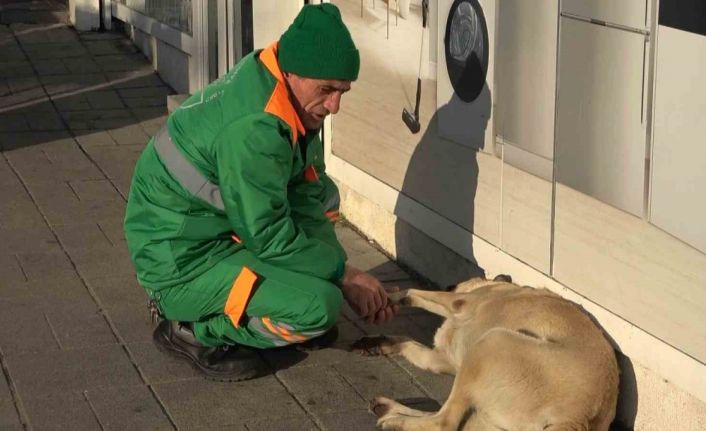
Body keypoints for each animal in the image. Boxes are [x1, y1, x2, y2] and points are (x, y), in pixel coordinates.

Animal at [352, 276, 616, 431]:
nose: (449, 284)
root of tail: (577, 419)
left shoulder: (460, 301)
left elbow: (411, 292)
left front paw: (387, 295)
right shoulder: (440, 360)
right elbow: (407, 342)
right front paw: (379, 342)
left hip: (491, 342)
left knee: (445, 423)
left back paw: (396, 421)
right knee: (452, 420)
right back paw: (387, 408)